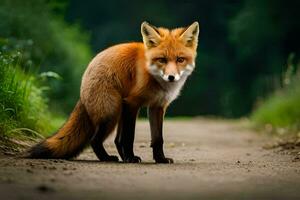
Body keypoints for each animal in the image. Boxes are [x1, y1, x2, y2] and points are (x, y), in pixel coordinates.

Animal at [28, 21, 199, 163]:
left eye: (180, 59)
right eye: (162, 59)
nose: (171, 77)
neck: (153, 76)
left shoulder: (157, 106)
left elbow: (158, 139)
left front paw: (160, 159)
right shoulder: (132, 103)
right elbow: (129, 137)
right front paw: (131, 157)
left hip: (118, 112)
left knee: (116, 140)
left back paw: (121, 158)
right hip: (112, 111)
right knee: (96, 140)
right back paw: (109, 158)